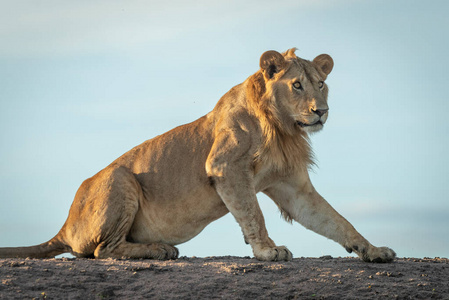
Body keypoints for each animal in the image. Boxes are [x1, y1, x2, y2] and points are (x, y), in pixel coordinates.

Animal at [0, 48, 396, 262]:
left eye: (321, 83)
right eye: (296, 85)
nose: (321, 112)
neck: (281, 128)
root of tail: (65, 226)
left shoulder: (292, 187)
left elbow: (335, 220)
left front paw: (373, 250)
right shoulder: (225, 166)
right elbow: (253, 213)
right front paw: (267, 251)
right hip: (120, 177)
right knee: (102, 250)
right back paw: (160, 250)